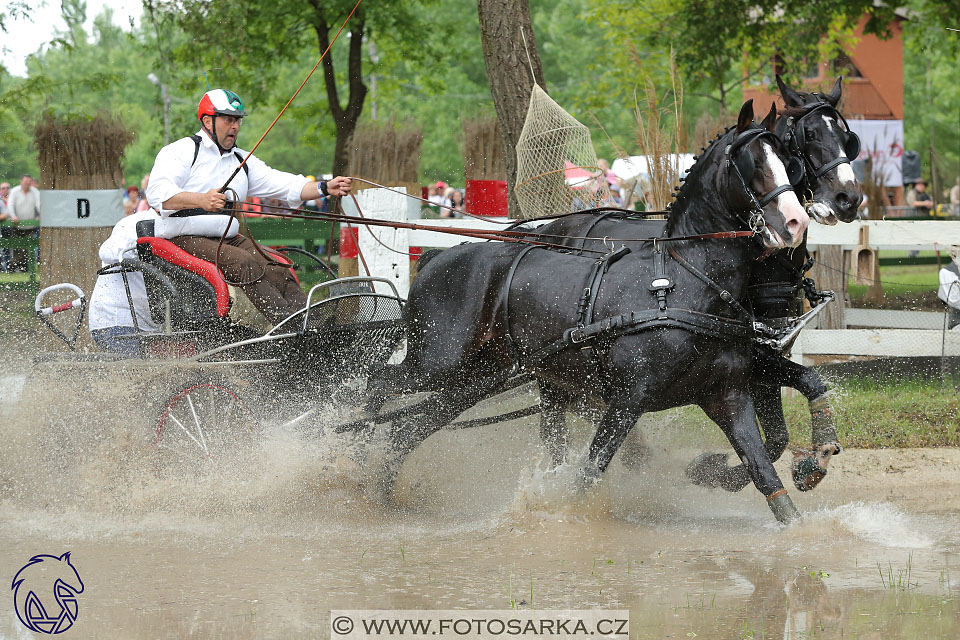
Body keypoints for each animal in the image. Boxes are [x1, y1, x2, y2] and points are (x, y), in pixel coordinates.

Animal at [382, 99, 808, 520]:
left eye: (789, 163)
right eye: (752, 164)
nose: (796, 222)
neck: (686, 283)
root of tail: (434, 257)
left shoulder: (728, 395)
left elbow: (766, 475)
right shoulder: (626, 400)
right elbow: (588, 474)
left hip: (476, 379)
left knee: (407, 430)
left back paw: (382, 488)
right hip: (437, 365)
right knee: (377, 386)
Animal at [532, 76, 864, 496]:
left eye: (848, 139)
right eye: (807, 136)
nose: (848, 198)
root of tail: (549, 228)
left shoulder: (756, 358)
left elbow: (785, 421)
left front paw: (806, 463)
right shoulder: (754, 358)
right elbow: (779, 426)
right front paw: (714, 471)